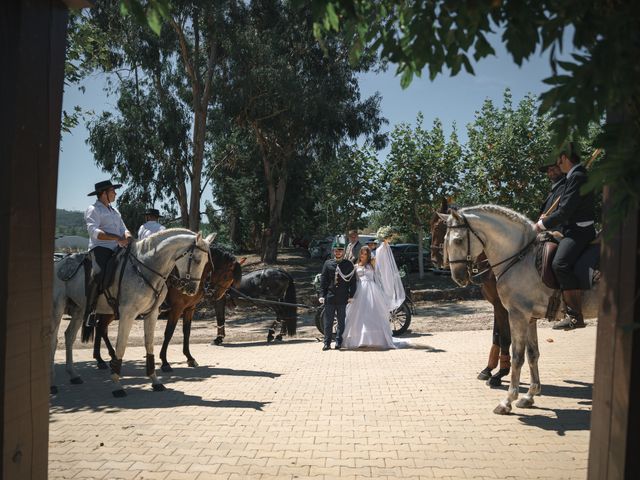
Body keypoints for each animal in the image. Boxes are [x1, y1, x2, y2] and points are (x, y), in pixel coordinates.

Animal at [51, 229, 210, 398]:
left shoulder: (152, 314)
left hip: (80, 309)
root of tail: (59, 264)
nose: (192, 290)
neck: (145, 269)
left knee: (69, 336)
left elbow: (149, 345)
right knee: (54, 340)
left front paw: (155, 381)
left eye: (207, 262)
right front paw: (117, 384)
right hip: (58, 308)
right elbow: (121, 346)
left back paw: (73, 374)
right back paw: (53, 384)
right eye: (197, 260)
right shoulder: (128, 314)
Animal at [89, 244, 241, 372]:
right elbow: (169, 333)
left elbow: (187, 332)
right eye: (226, 275)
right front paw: (165, 361)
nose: (216, 295)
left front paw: (189, 358)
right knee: (101, 327)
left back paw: (105, 358)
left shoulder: (189, 309)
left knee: (101, 328)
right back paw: (104, 358)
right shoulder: (176, 309)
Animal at [430, 199, 510, 386]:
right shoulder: (497, 304)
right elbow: (497, 335)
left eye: (437, 228)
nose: (433, 259)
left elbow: (505, 337)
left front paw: (501, 373)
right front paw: (488, 369)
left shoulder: (504, 306)